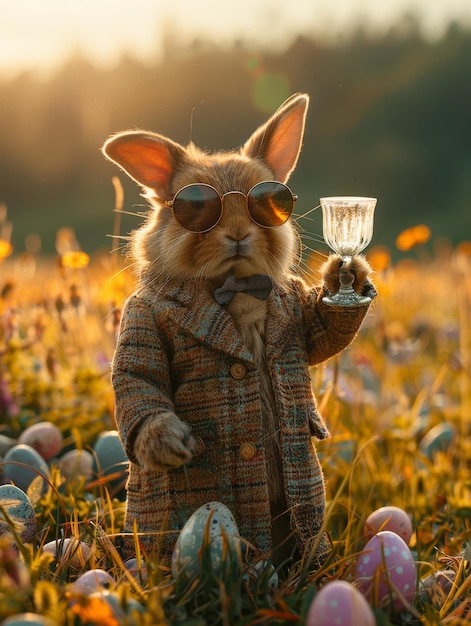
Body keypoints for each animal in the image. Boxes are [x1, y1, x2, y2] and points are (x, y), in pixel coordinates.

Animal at [101, 91, 374, 564]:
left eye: (265, 203)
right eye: (196, 208)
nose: (238, 234)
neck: (233, 285)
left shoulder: (301, 323)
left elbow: (324, 334)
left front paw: (349, 273)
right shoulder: (141, 327)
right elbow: (139, 380)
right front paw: (169, 444)